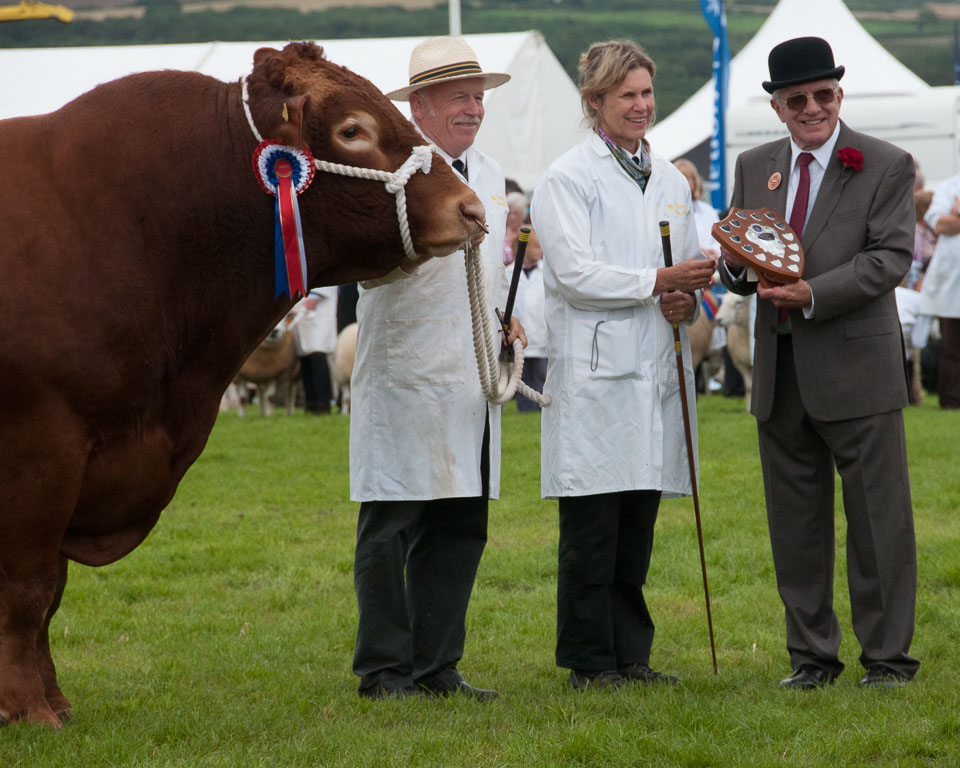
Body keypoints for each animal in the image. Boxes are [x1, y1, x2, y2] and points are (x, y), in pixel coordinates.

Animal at [0, 42, 484, 728]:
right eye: (352, 130)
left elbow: (49, 592)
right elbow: (29, 586)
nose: (472, 209)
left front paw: (55, 702)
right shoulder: (43, 444)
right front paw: (29, 710)